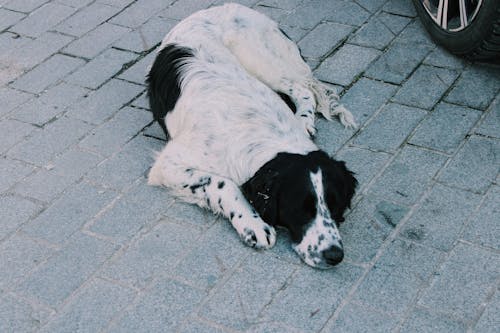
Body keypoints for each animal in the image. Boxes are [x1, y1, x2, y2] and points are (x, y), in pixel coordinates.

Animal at [146, 2, 358, 268]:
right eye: (302, 208)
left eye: (335, 204)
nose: (334, 255)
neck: (262, 132)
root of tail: (229, 6)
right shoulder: (168, 164)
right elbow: (222, 183)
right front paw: (253, 223)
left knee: (302, 88)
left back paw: (304, 120)